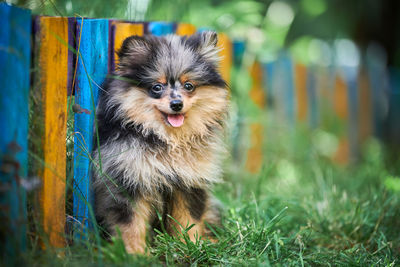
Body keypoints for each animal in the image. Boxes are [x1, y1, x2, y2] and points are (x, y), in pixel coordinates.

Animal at [91, 30, 228, 254]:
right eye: (157, 87)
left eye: (189, 86)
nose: (177, 104)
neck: (167, 140)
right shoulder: (128, 180)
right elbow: (130, 225)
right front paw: (134, 254)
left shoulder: (188, 181)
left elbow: (188, 219)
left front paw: (191, 245)